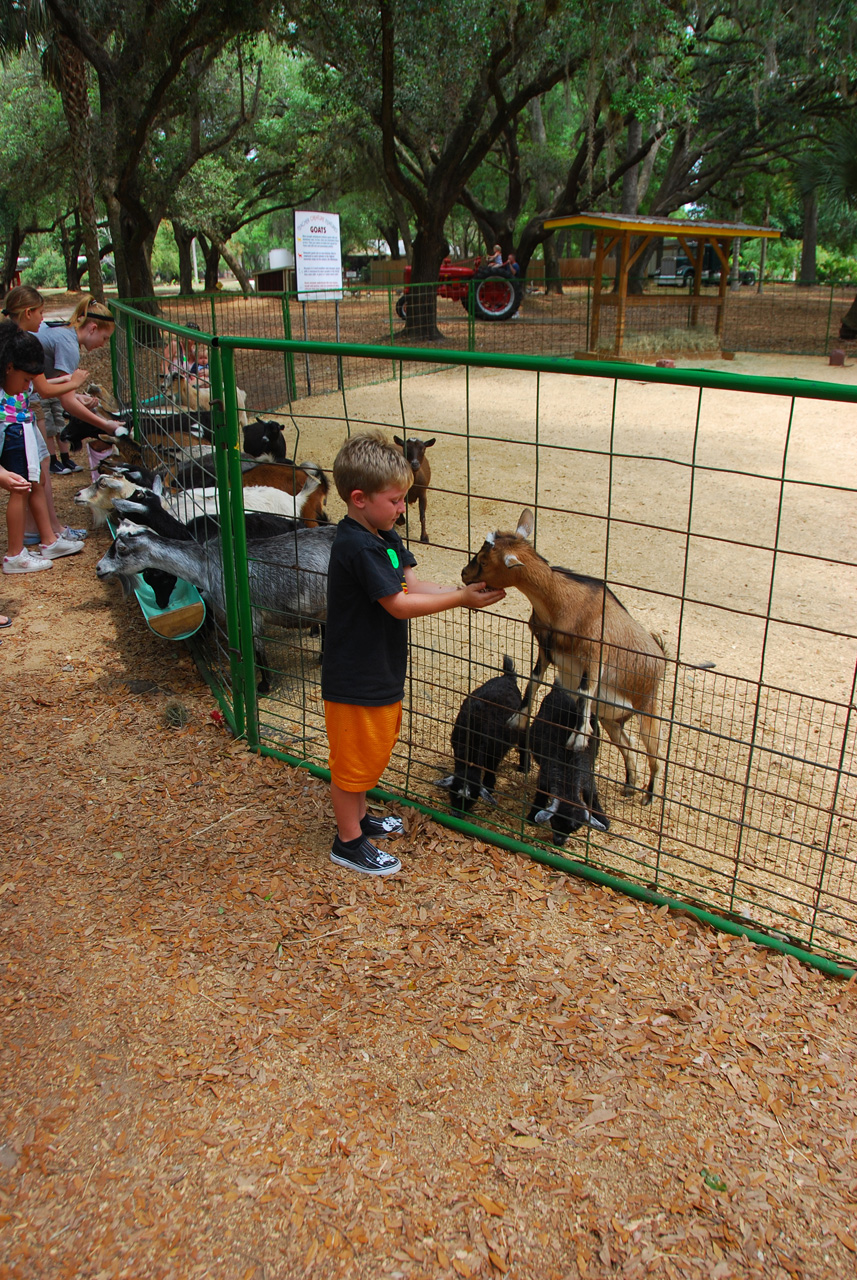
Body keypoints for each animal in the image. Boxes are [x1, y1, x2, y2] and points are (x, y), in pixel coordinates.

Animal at [437, 660, 524, 808]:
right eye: (452, 793)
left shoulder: (496, 750)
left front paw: (489, 785)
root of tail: (508, 677)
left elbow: (491, 767)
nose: (457, 812)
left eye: (473, 798)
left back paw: (523, 768)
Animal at [463, 506, 670, 798]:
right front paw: (518, 719)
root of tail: (661, 659)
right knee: (628, 745)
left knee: (656, 753)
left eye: (483, 560)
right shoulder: (545, 649)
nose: (464, 574)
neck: (559, 602)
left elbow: (584, 693)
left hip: (647, 706)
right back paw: (630, 786)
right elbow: (533, 682)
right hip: (611, 718)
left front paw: (578, 738)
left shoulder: (595, 656)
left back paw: (649, 796)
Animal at [529, 680, 611, 849]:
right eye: (554, 822)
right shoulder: (546, 772)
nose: (559, 842)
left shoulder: (587, 775)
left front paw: (603, 820)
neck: (567, 769)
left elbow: (591, 795)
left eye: (575, 828)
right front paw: (532, 814)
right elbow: (541, 792)